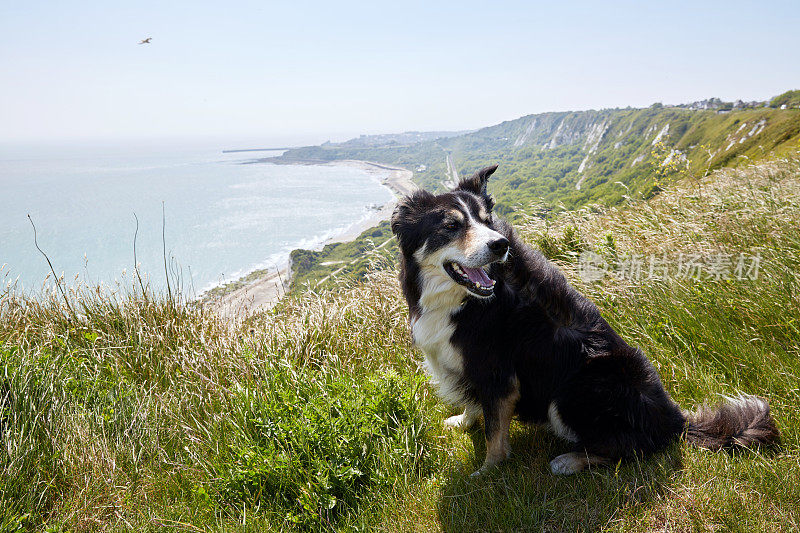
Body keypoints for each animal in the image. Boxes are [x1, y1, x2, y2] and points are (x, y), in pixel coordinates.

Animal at [390, 163, 780, 474]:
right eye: (451, 226)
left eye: (487, 222)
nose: (500, 244)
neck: (463, 301)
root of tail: (676, 421)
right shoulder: (467, 366)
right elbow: (476, 406)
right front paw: (463, 421)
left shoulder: (499, 374)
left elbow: (494, 431)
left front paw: (487, 473)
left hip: (574, 392)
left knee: (630, 449)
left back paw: (570, 460)